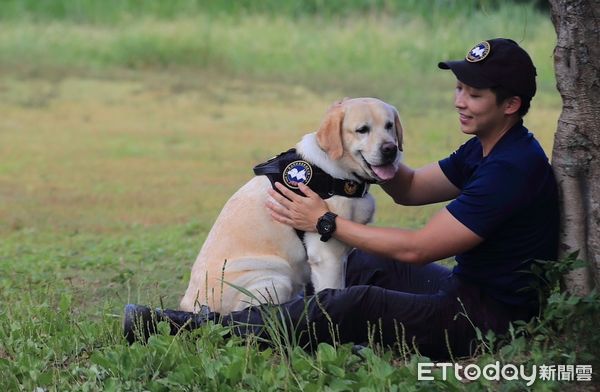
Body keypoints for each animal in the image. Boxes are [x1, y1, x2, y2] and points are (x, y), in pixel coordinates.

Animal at [178, 99, 404, 316]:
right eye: (362, 130)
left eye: (389, 125)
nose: (390, 149)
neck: (335, 175)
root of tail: (191, 307)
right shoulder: (327, 256)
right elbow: (334, 293)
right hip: (275, 278)